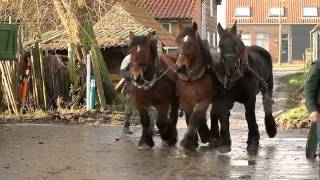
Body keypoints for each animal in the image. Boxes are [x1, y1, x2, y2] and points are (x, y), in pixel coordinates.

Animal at [210, 22, 278, 152]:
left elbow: (250, 117)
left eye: (236, 44)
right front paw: (225, 142)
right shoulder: (224, 98)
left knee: (266, 102)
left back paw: (270, 128)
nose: (231, 67)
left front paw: (253, 141)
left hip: (268, 85)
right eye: (220, 45)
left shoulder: (250, 98)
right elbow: (224, 116)